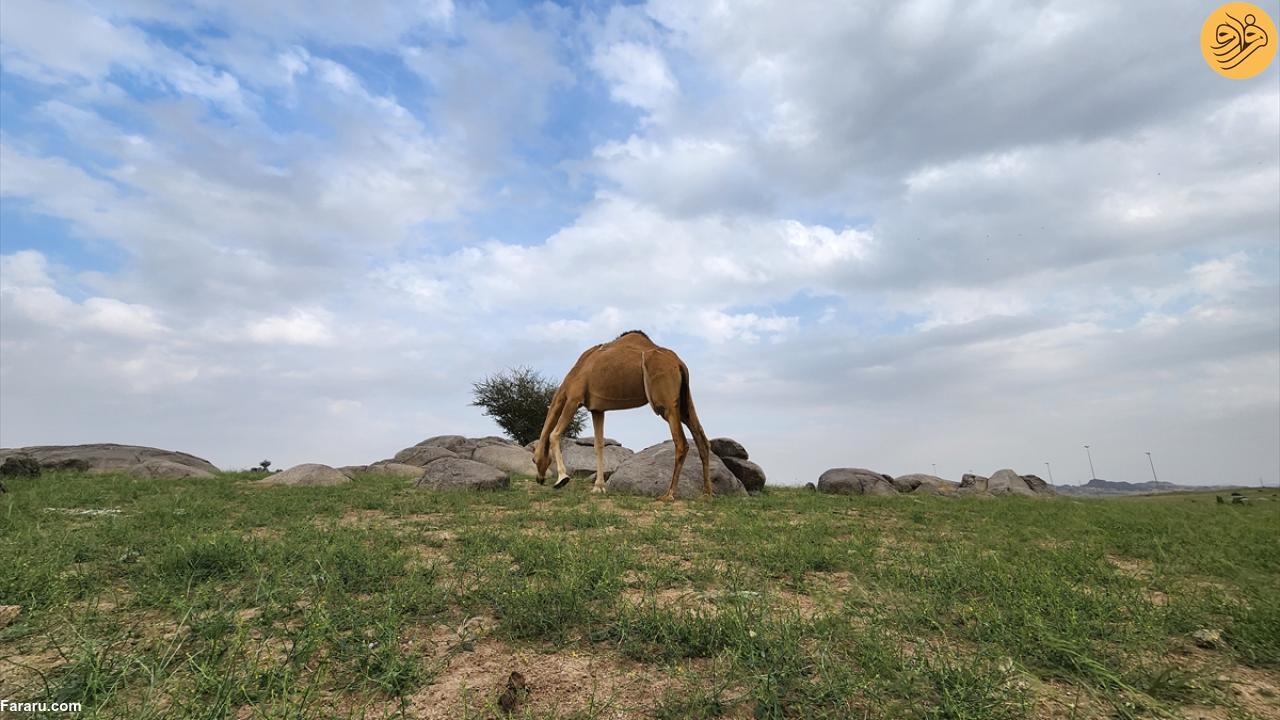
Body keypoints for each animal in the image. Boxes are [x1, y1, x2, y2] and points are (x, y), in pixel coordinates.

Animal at [529, 330, 711, 499]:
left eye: (533, 459)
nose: (540, 479)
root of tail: (680, 364)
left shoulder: (574, 398)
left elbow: (554, 434)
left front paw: (562, 479)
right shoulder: (597, 409)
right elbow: (598, 445)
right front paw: (598, 487)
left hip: (666, 404)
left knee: (681, 442)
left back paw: (669, 494)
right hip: (684, 401)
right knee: (701, 438)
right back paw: (706, 493)